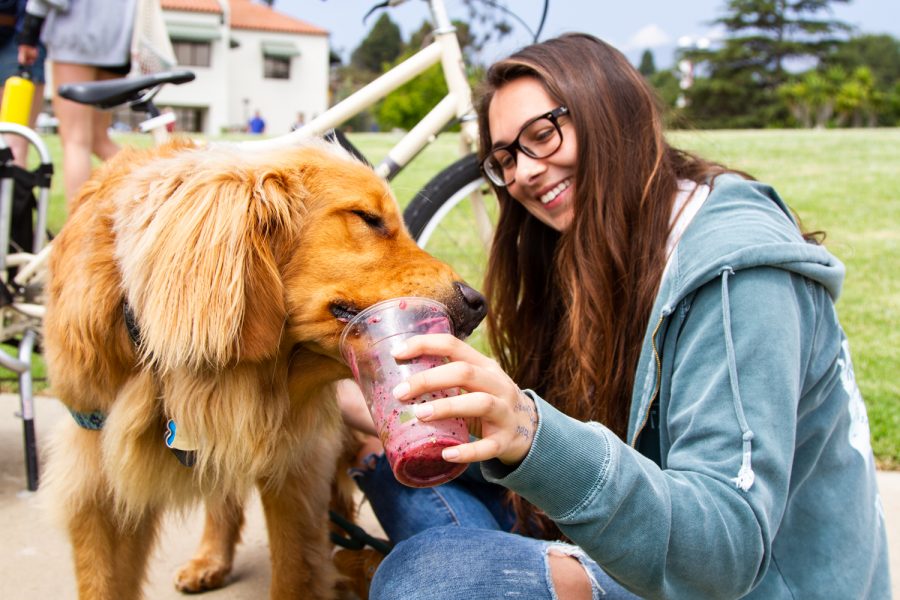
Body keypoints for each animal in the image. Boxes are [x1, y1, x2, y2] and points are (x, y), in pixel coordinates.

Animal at [44, 138, 486, 596]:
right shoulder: (95, 478)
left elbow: (294, 569)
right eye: (367, 217)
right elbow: (101, 580)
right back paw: (212, 558)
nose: (478, 303)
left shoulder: (297, 464)